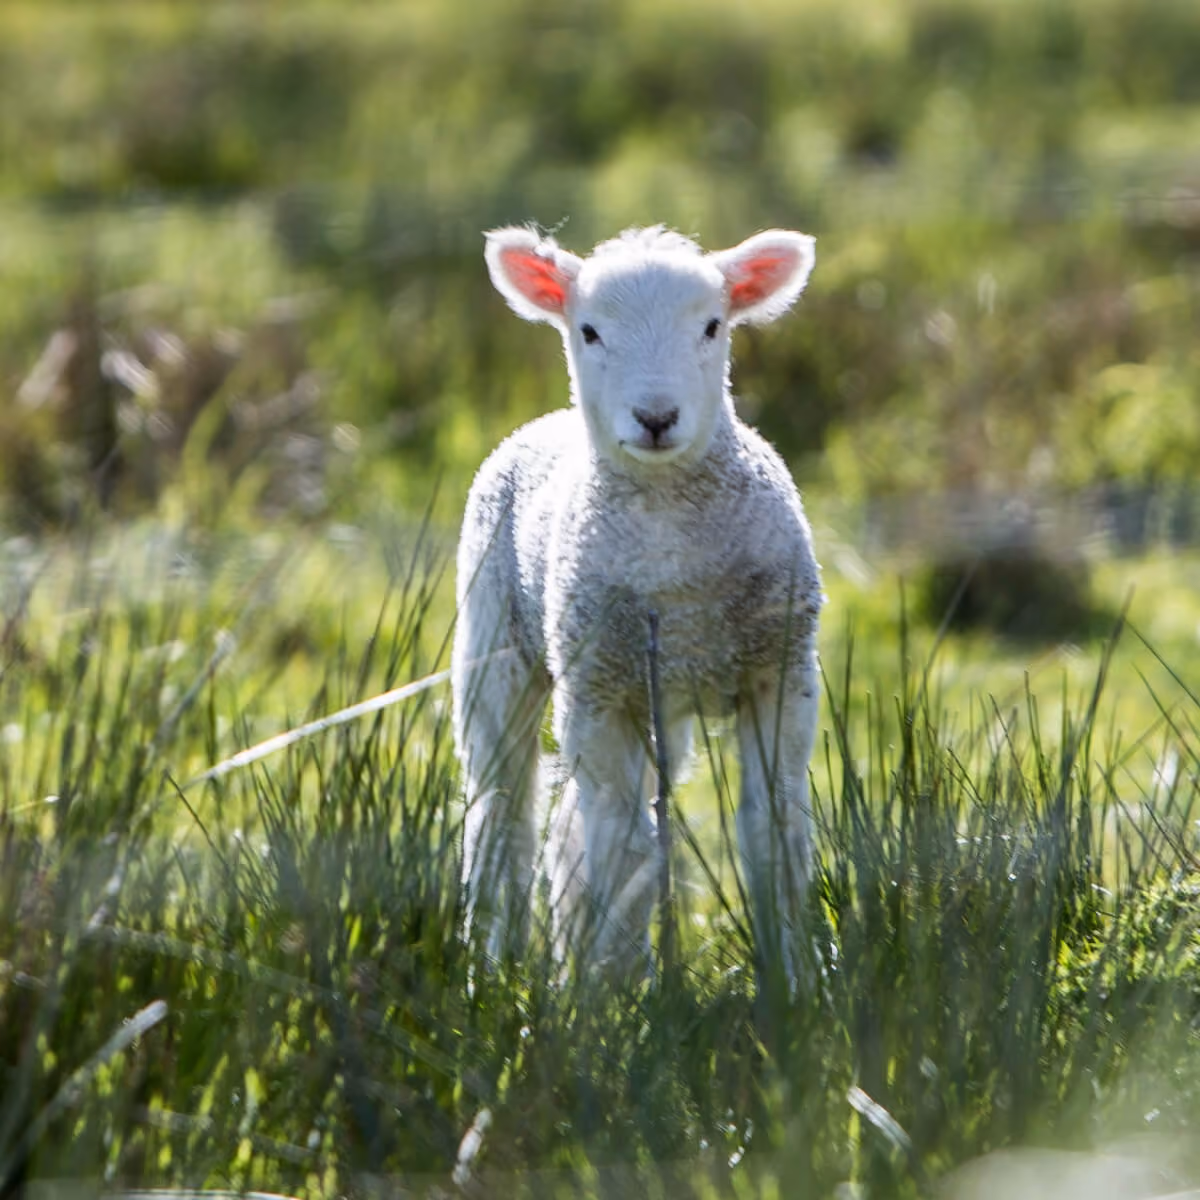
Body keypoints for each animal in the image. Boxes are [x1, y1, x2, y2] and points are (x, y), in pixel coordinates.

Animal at [452, 224, 822, 979]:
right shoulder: (597, 692)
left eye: (712, 326)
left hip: (659, 698)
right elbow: (623, 846)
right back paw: (495, 964)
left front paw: (792, 978)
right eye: (589, 330)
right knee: (502, 812)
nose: (656, 417)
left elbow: (773, 829)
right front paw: (618, 987)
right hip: (495, 646)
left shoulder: (779, 672)